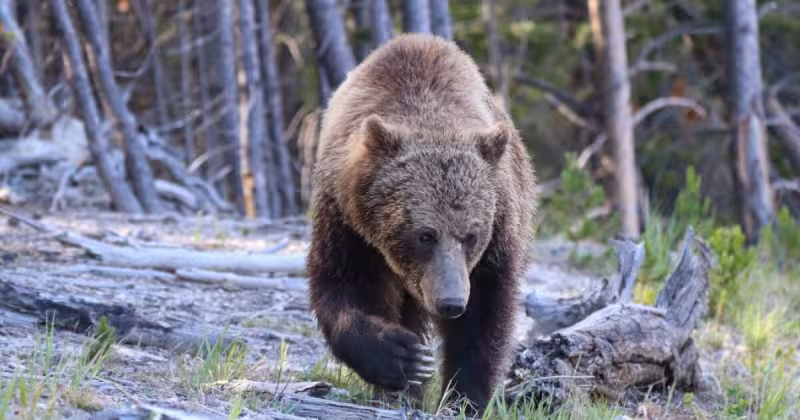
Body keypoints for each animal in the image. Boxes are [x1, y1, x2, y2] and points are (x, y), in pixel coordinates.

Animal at [307, 33, 537, 414]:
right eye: (425, 235)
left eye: (471, 235)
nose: (451, 302)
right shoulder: (347, 222)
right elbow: (343, 286)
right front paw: (402, 357)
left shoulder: (499, 232)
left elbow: (485, 316)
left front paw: (464, 398)